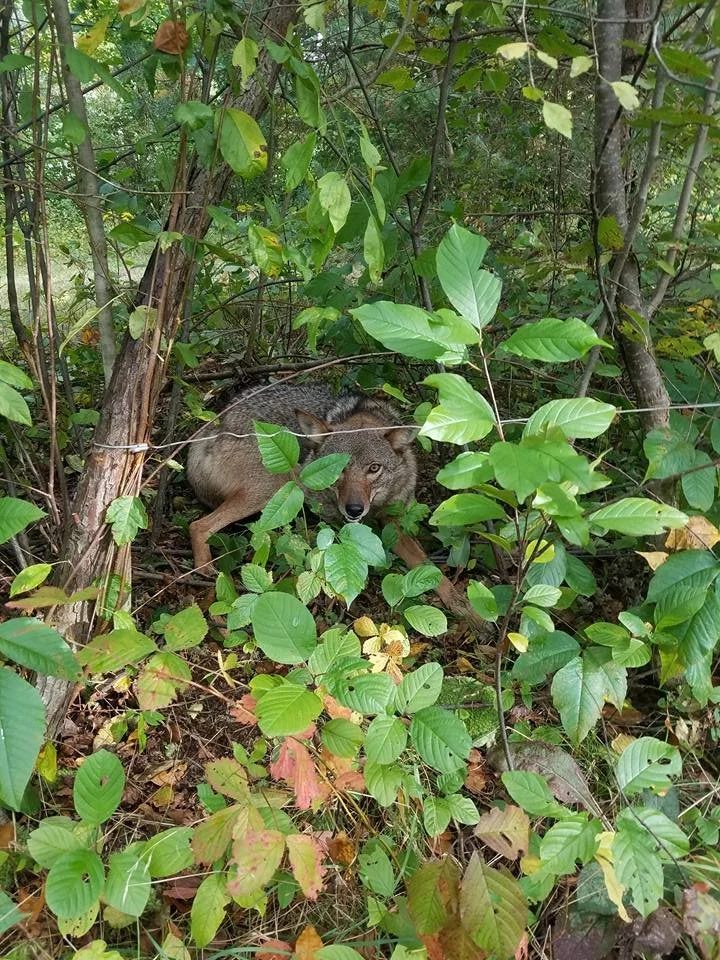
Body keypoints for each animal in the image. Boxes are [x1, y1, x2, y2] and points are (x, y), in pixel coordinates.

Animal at [186, 380, 490, 634]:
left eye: (374, 469)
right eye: (339, 469)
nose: (354, 509)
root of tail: (212, 427)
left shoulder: (394, 521)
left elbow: (432, 570)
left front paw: (469, 612)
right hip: (274, 488)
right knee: (198, 525)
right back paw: (205, 571)